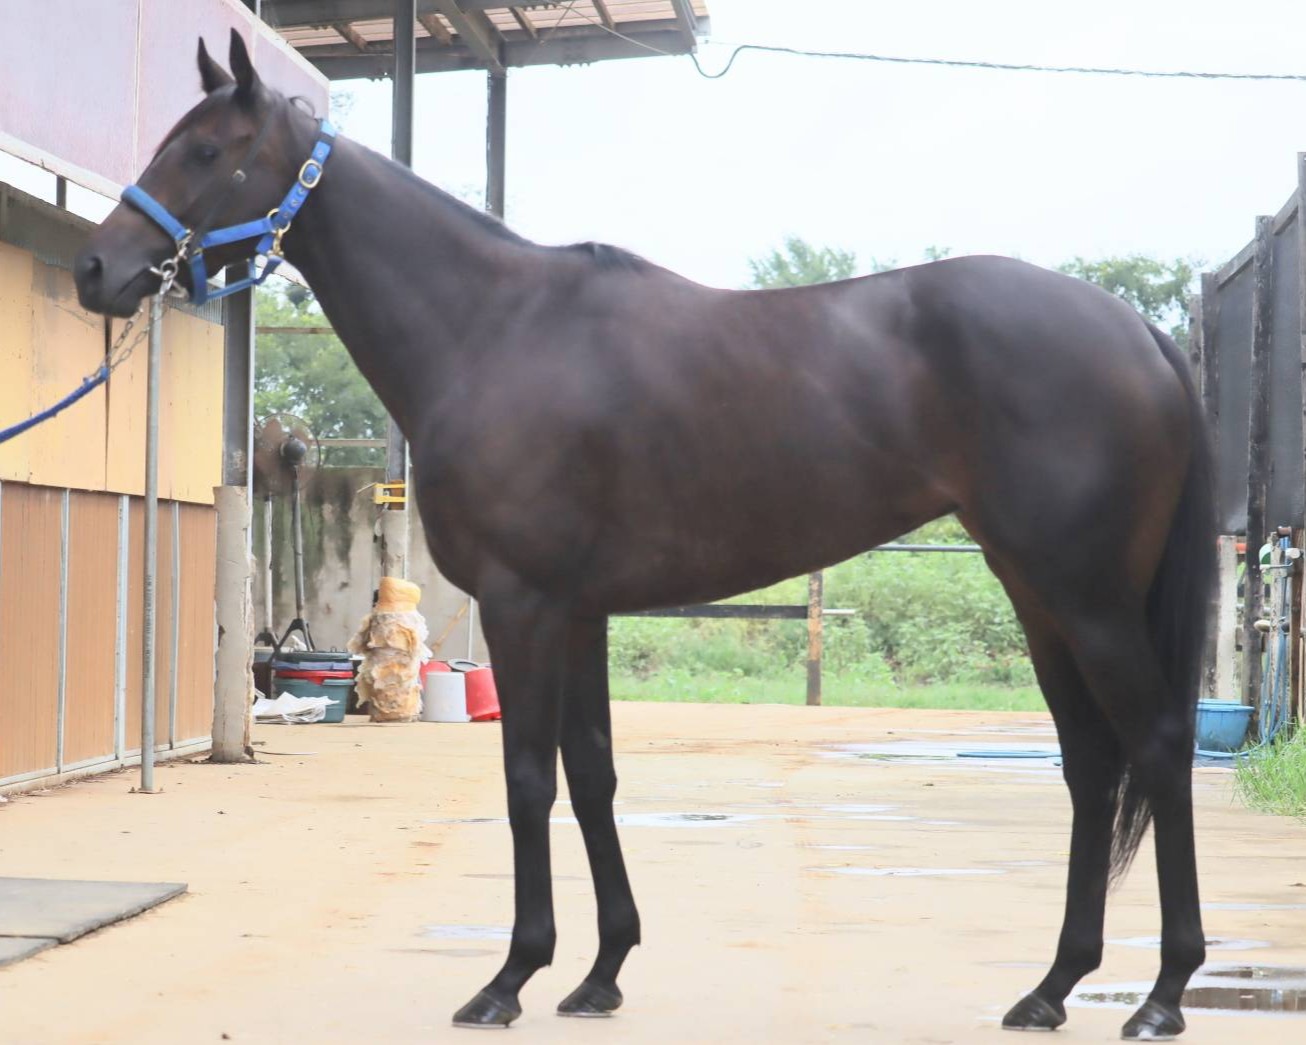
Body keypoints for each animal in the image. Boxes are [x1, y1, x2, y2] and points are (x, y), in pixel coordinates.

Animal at [75, 31, 1216, 1040]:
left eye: (206, 152)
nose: (96, 268)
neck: (492, 331)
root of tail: (1138, 332)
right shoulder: (580, 612)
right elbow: (592, 775)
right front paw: (599, 972)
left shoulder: (524, 604)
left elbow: (527, 779)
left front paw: (509, 978)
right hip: (1039, 596)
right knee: (1089, 765)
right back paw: (1051, 988)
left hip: (1088, 600)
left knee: (1157, 746)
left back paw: (1161, 995)